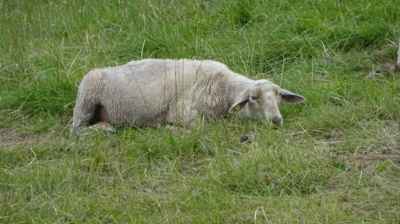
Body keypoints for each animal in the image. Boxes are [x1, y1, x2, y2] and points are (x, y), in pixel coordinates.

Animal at [72, 58, 304, 135]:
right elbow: (200, 127)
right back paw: (105, 129)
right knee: (76, 129)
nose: (276, 121)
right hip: (87, 95)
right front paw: (168, 129)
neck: (222, 86)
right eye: (253, 98)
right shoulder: (180, 112)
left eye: (279, 96)